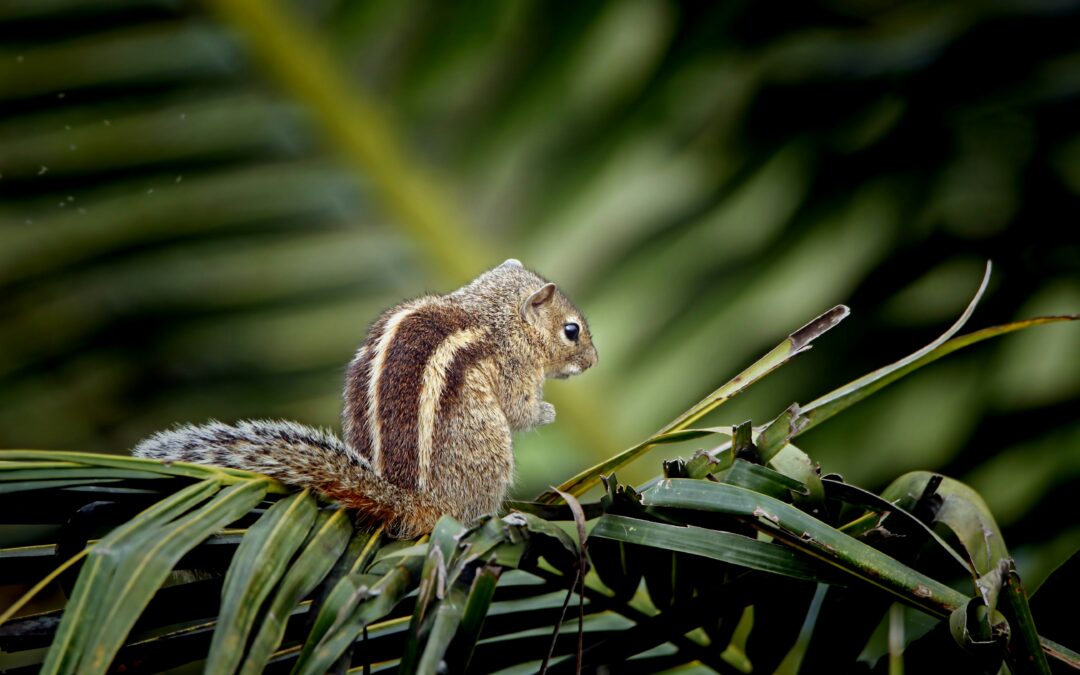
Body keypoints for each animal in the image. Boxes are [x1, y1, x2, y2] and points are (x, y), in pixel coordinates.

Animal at [133, 259, 598, 538]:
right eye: (571, 330)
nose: (594, 361)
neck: (493, 315)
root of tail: (413, 502)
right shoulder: (514, 369)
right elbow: (520, 411)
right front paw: (547, 411)